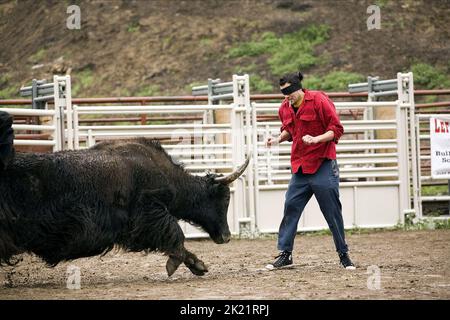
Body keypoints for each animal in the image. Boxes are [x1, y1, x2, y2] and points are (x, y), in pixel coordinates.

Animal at [0, 111, 250, 276]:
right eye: (223, 199)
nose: (227, 236)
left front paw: (195, 265)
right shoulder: (150, 212)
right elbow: (175, 234)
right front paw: (186, 265)